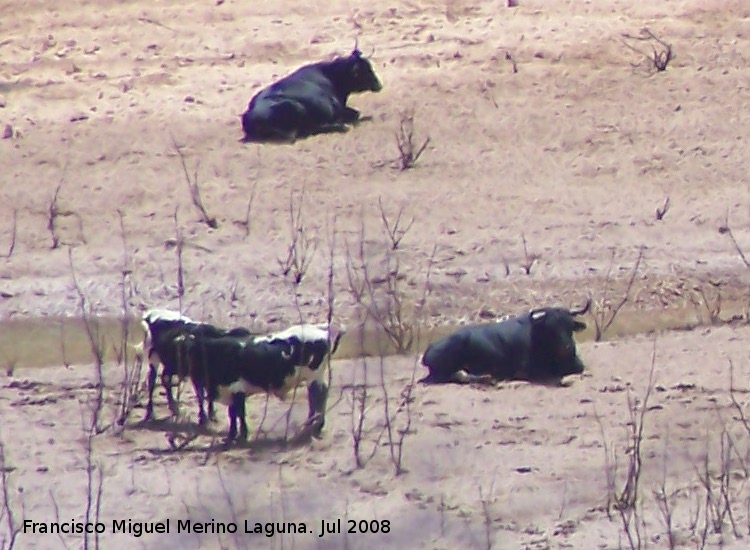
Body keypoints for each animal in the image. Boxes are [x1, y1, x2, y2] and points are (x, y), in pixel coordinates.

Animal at [184, 326, 346, 446]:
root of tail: (323, 333)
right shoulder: (230, 392)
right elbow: (233, 414)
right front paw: (233, 435)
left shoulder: (237, 389)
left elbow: (239, 413)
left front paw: (239, 436)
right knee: (318, 397)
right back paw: (313, 426)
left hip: (314, 375)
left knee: (317, 397)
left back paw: (314, 427)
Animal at [241, 47, 382, 142]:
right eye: (364, 71)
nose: (379, 85)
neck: (329, 74)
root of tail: (250, 115)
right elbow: (355, 114)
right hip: (297, 111)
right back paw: (341, 126)